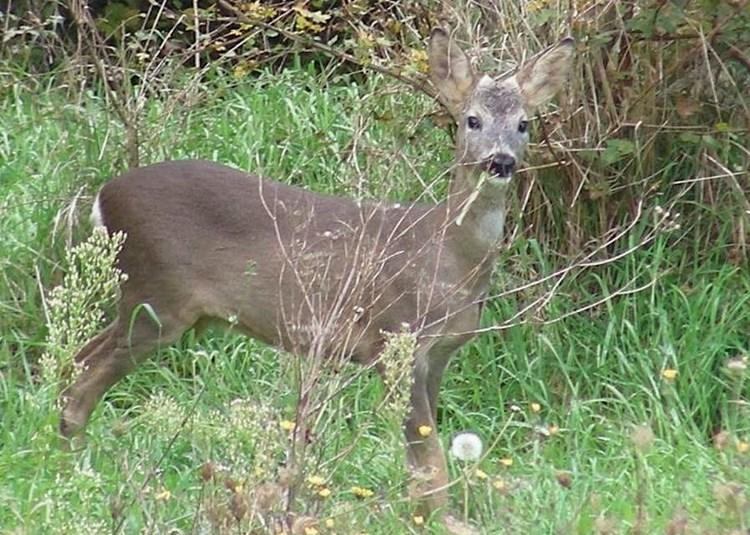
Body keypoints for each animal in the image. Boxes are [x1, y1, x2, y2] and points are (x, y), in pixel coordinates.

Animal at [60, 28, 576, 528]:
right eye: (472, 120)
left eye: (523, 123)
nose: (500, 161)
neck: (445, 253)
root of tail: (103, 198)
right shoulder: (397, 339)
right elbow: (428, 456)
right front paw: (439, 521)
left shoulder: (440, 354)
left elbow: (425, 454)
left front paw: (430, 516)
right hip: (156, 297)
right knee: (83, 378)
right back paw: (75, 469)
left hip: (144, 300)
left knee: (78, 360)